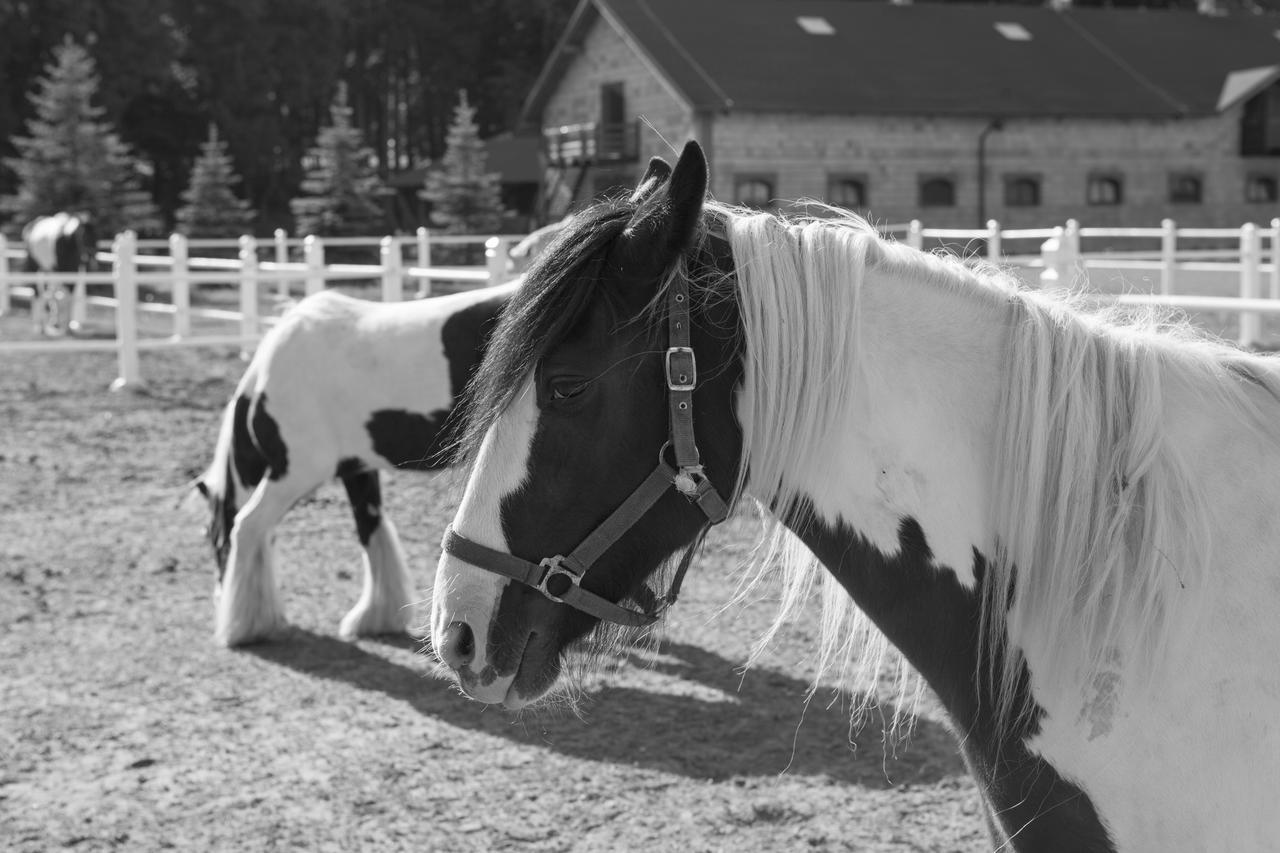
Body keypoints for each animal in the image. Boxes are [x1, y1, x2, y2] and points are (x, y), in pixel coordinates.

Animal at [192, 279, 512, 645]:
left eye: (213, 539)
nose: (217, 597)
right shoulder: (357, 470)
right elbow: (370, 529)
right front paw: (377, 618)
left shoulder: (293, 474)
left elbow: (248, 526)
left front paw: (245, 625)